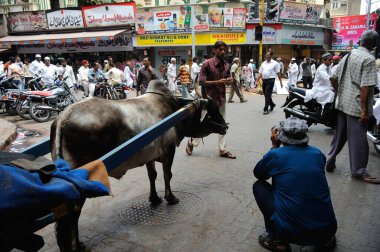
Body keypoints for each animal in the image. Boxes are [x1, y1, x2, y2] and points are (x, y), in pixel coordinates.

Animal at [50, 79, 229, 251]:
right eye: (213, 109)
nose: (226, 127)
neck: (176, 110)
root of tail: (64, 116)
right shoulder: (168, 151)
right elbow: (167, 175)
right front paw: (170, 198)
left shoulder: (150, 156)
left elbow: (152, 176)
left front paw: (154, 199)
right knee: (73, 212)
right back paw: (75, 246)